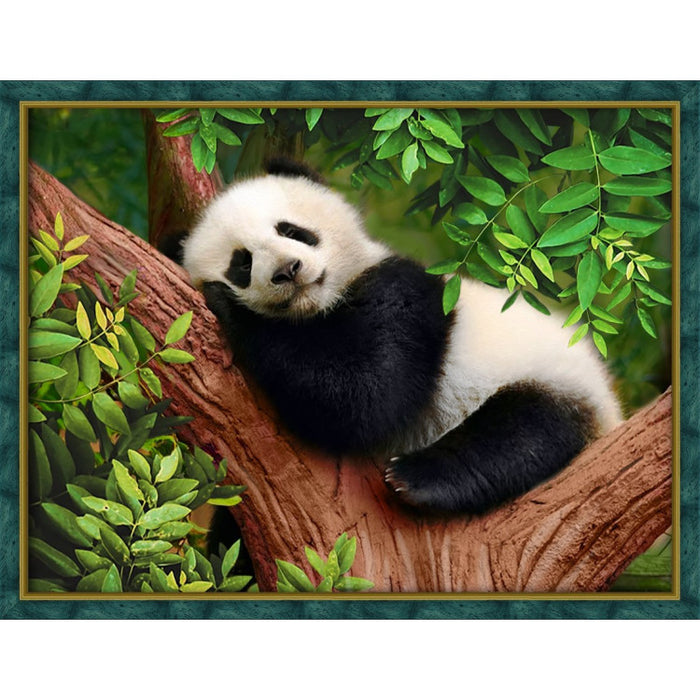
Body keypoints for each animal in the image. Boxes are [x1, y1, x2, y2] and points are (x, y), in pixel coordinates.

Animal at [179, 157, 622, 515]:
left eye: (291, 230)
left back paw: (418, 479)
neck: (319, 308)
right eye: (242, 263)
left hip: (550, 376)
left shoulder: (408, 295)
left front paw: (231, 308)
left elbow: (366, 394)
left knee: (523, 431)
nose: (288, 270)